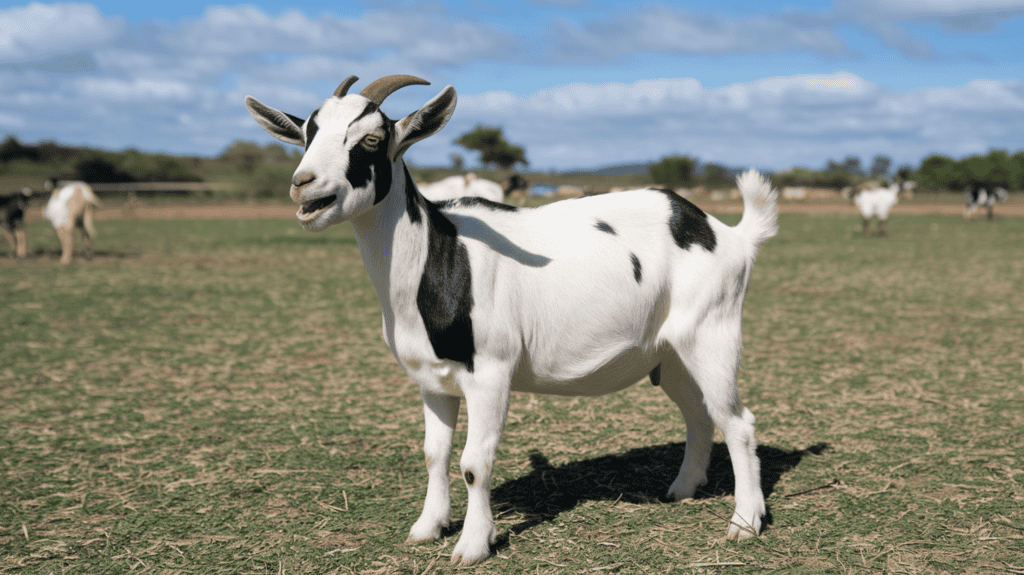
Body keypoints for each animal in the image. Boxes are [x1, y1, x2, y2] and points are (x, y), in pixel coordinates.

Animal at [246, 75, 778, 566]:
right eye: (308, 134)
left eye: (372, 139)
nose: (303, 185)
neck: (440, 256)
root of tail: (728, 232)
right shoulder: (431, 379)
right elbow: (434, 454)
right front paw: (427, 528)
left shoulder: (490, 372)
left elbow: (474, 463)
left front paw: (472, 546)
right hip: (669, 352)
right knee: (700, 414)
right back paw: (683, 489)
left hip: (712, 332)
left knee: (738, 422)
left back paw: (744, 522)